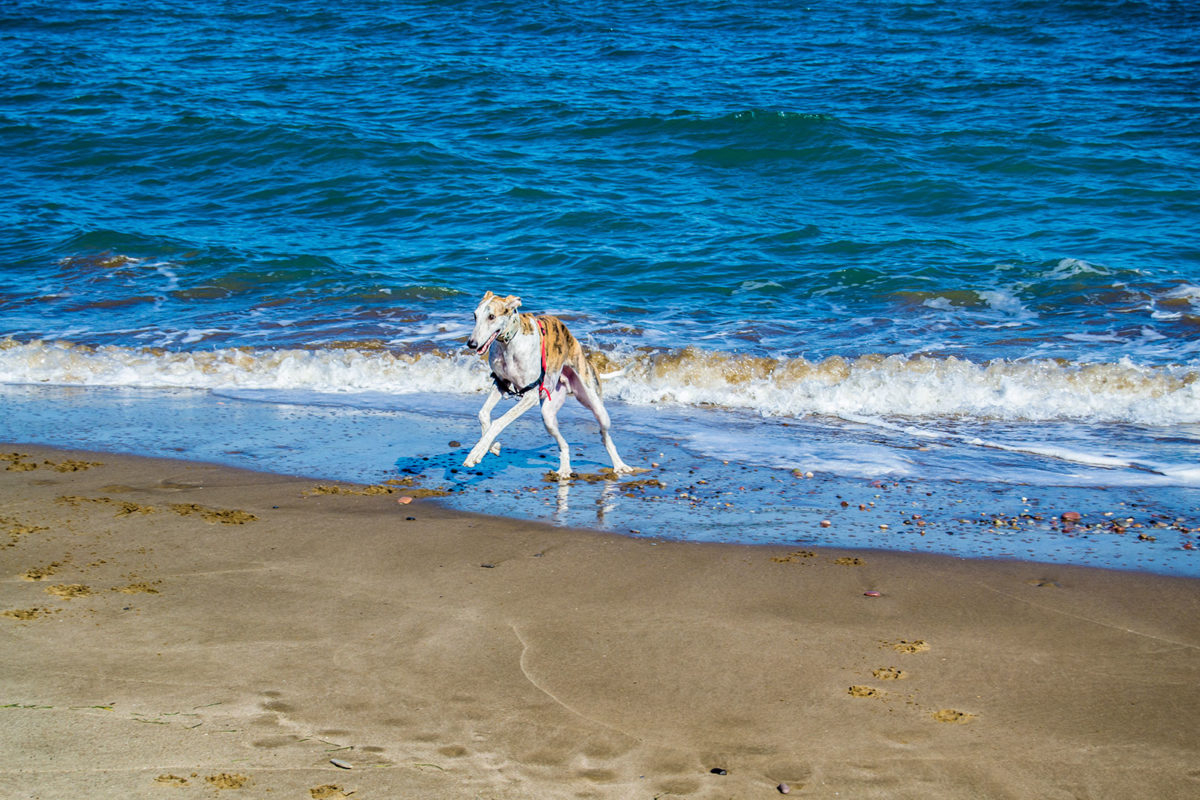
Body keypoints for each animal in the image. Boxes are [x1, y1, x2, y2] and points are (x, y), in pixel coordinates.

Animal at [465, 293, 638, 482]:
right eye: (475, 316)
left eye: (491, 317)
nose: (471, 344)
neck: (511, 342)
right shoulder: (501, 383)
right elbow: (483, 414)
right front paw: (491, 446)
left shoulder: (530, 396)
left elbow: (498, 422)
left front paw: (476, 452)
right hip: (548, 416)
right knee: (564, 444)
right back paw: (564, 469)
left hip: (595, 404)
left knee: (605, 436)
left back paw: (620, 465)